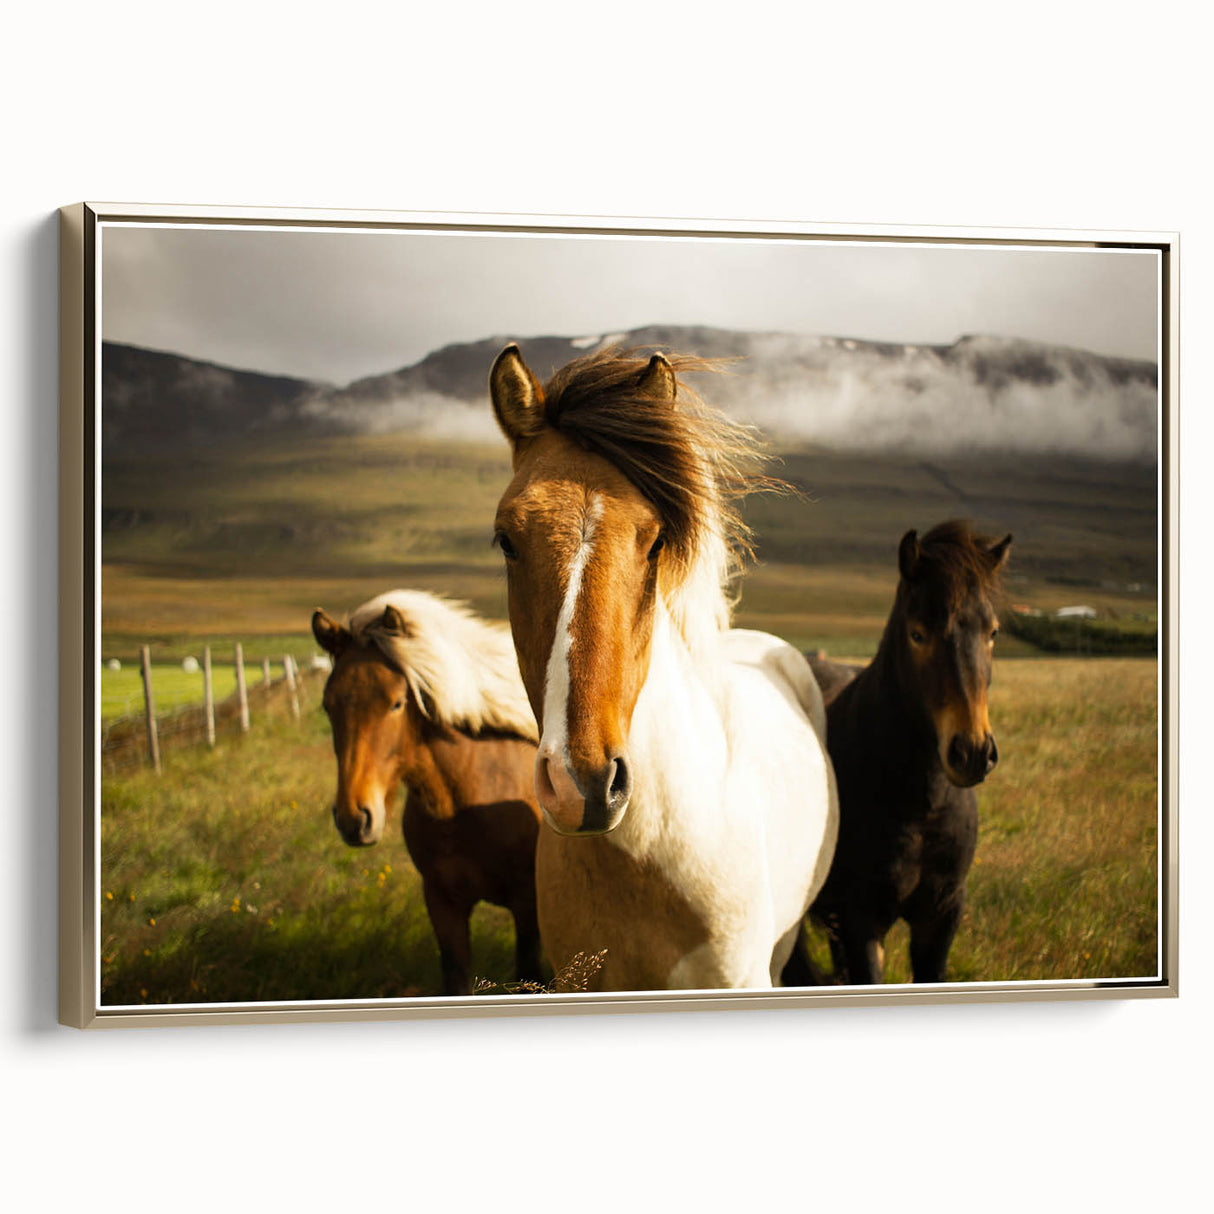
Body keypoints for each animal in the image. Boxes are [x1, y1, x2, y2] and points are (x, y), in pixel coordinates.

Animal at [311, 590, 544, 996]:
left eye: (396, 702)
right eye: (328, 705)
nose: (354, 819)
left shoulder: (528, 907)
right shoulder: (442, 903)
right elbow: (455, 977)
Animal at [787, 520, 1011, 986]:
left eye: (993, 632)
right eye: (918, 633)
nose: (972, 752)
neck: (921, 805)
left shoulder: (941, 916)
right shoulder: (861, 920)